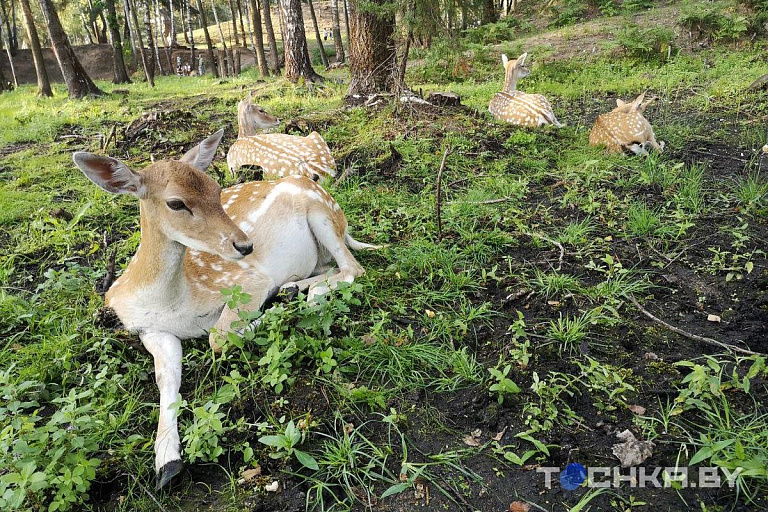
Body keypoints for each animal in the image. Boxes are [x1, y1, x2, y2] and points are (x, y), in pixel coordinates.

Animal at [73, 130, 380, 490]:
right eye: (175, 202)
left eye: (216, 189)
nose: (245, 245)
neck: (171, 302)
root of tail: (343, 219)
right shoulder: (149, 330)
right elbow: (166, 377)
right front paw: (166, 462)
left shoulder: (245, 280)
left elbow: (218, 336)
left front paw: (265, 315)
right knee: (333, 268)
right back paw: (293, 289)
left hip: (320, 211)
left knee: (353, 268)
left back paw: (296, 298)